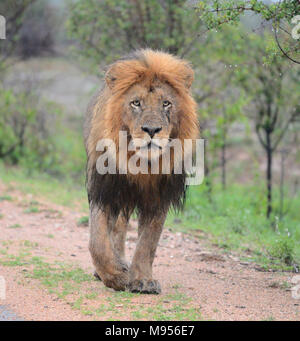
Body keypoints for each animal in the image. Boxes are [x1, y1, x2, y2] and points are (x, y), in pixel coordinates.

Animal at [84, 48, 199, 292]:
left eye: (166, 103)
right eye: (136, 103)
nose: (152, 129)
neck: (141, 164)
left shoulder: (160, 196)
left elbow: (148, 242)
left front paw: (143, 280)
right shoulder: (104, 189)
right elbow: (98, 241)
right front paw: (115, 276)